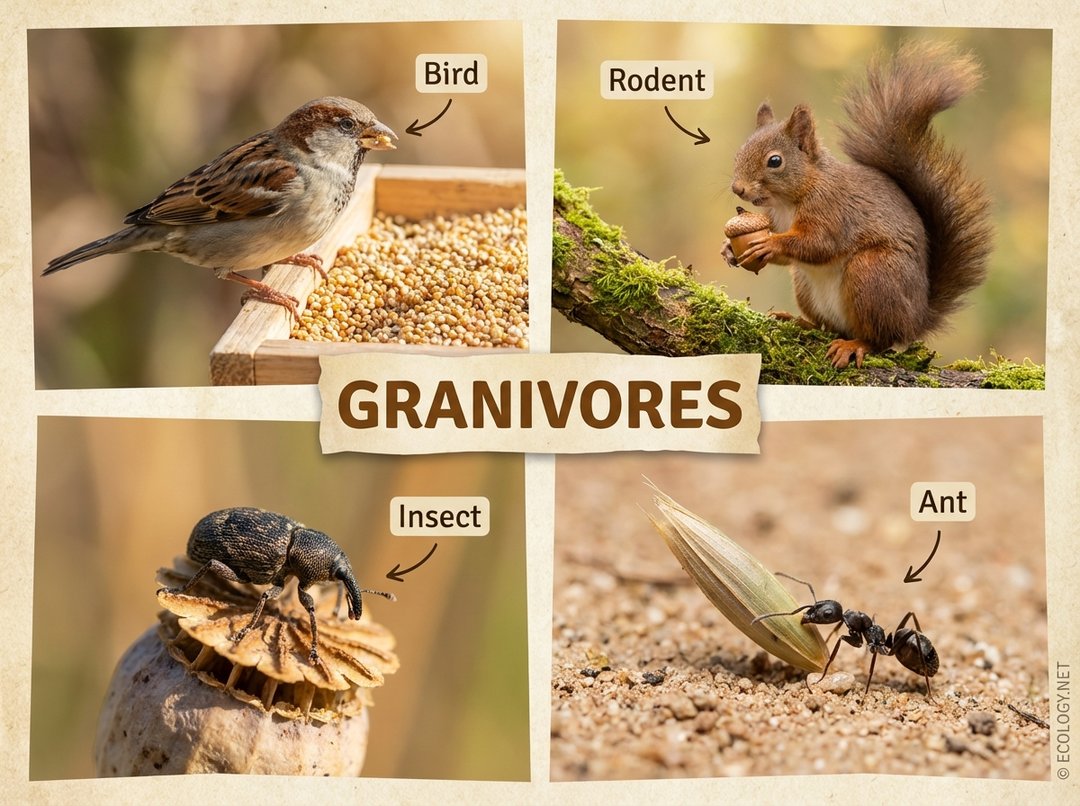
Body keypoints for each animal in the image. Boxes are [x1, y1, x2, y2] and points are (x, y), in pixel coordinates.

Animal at [723, 41, 993, 369]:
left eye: (775, 161)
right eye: (740, 151)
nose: (738, 188)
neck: (790, 200)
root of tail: (916, 319)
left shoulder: (832, 211)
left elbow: (819, 244)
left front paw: (769, 244)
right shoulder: (775, 218)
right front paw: (728, 250)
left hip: (872, 274)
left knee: (881, 339)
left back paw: (855, 345)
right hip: (805, 284)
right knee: (828, 325)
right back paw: (799, 322)